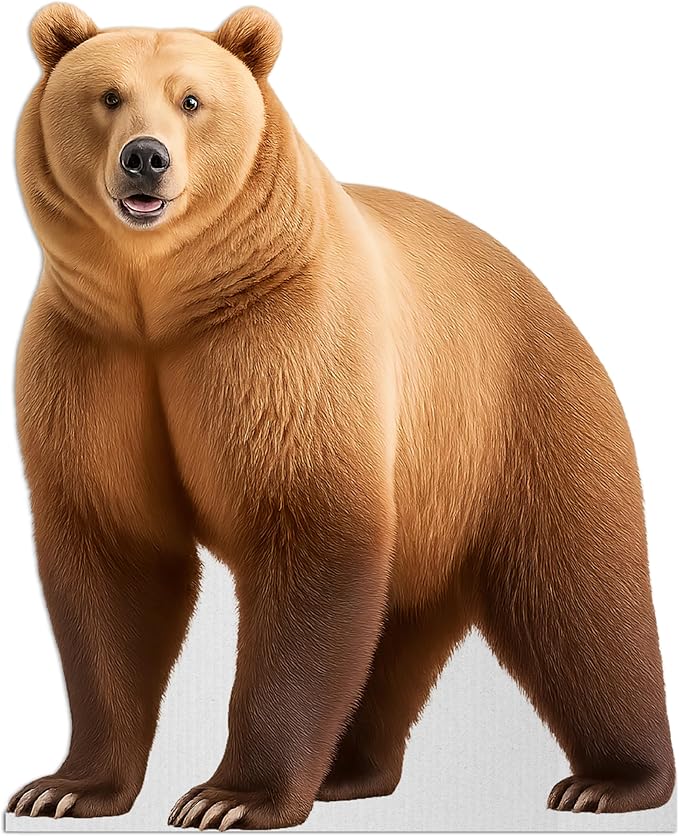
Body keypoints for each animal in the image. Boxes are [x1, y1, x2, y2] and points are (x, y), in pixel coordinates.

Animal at [7, 2, 674, 830]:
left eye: (191, 99)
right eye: (108, 95)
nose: (145, 159)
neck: (160, 301)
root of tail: (541, 289)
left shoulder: (283, 343)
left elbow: (307, 533)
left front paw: (229, 797)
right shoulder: (91, 358)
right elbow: (114, 553)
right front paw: (65, 786)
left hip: (523, 417)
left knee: (579, 594)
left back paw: (610, 780)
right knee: (392, 629)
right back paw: (349, 770)